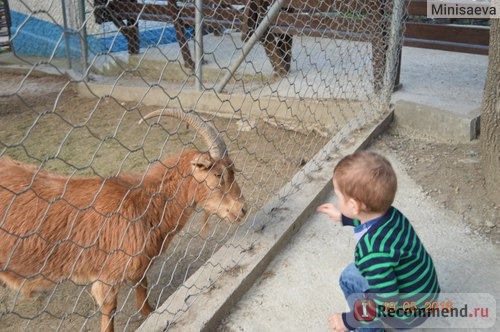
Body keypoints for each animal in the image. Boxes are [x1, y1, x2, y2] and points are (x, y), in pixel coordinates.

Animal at [0, 109, 244, 332]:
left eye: (233, 170)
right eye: (218, 175)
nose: (242, 209)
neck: (142, 202)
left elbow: (143, 286)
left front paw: (149, 312)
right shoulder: (107, 274)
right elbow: (110, 309)